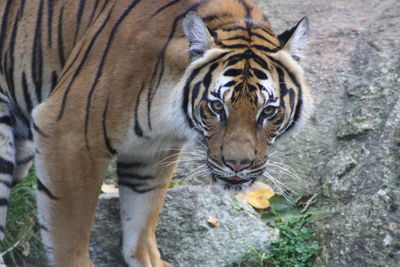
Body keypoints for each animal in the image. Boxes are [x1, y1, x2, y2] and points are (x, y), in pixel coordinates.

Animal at [0, 0, 310, 266]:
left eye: (268, 111)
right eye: (216, 106)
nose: (237, 165)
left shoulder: (154, 148)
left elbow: (143, 212)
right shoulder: (70, 133)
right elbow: (69, 233)